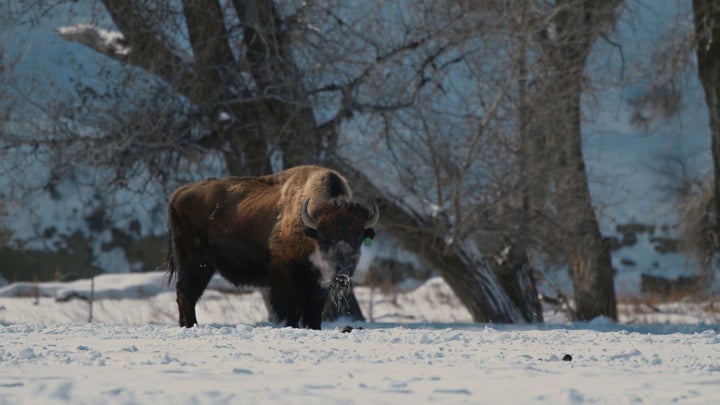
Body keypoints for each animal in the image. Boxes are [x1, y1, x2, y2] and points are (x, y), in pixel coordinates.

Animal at [166, 165, 378, 329]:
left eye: (358, 236)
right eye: (324, 237)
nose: (343, 268)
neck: (309, 229)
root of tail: (178, 194)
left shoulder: (318, 283)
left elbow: (314, 309)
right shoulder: (286, 273)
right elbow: (292, 306)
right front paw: (291, 326)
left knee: (186, 293)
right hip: (195, 263)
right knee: (186, 293)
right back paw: (191, 325)